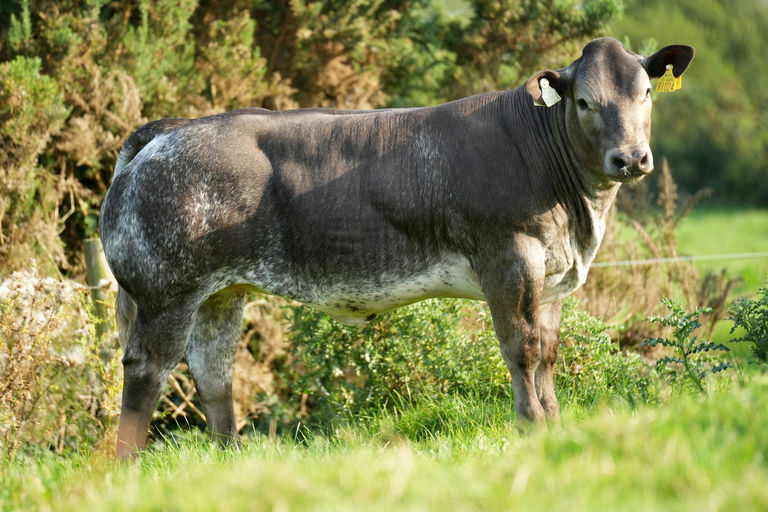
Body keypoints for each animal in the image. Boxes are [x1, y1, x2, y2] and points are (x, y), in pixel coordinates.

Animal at [100, 37, 694, 459]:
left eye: (644, 93)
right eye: (585, 101)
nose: (631, 157)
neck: (579, 218)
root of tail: (170, 129)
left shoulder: (550, 278)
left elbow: (546, 353)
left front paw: (552, 426)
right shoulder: (511, 260)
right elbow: (520, 350)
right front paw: (530, 429)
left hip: (221, 291)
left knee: (214, 370)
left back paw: (230, 461)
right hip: (166, 289)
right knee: (147, 367)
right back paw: (126, 467)